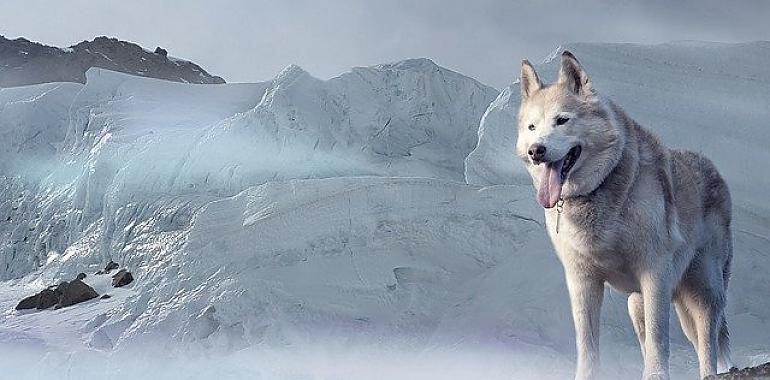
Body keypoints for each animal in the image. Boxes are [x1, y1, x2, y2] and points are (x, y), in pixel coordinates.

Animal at [516, 51, 732, 380]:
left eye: (562, 120)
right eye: (531, 127)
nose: (536, 150)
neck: (599, 192)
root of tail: (714, 169)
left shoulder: (654, 272)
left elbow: (659, 340)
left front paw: (657, 376)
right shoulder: (582, 281)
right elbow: (588, 346)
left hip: (702, 292)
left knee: (706, 345)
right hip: (637, 303)